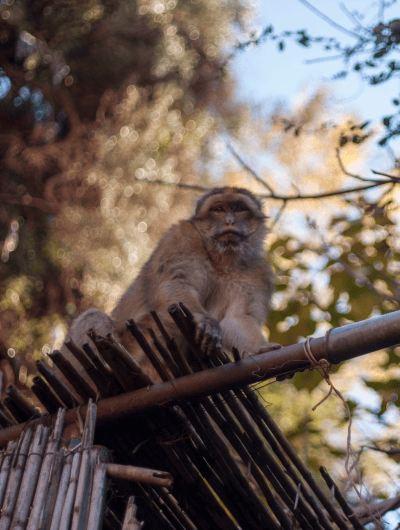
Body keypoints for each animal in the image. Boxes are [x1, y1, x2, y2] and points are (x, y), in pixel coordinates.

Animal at [63, 186, 282, 380]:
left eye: (239, 208)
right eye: (219, 209)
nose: (229, 221)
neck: (222, 260)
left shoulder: (257, 272)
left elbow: (237, 319)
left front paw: (260, 348)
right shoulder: (181, 237)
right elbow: (175, 282)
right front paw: (205, 322)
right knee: (94, 317)